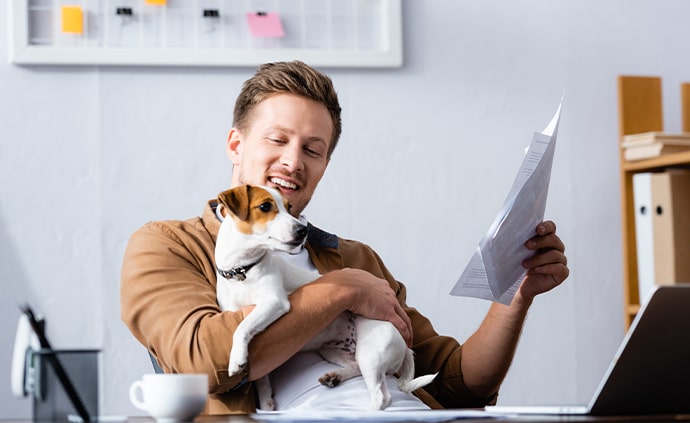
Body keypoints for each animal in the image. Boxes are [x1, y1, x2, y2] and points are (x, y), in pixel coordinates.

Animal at [214, 186, 436, 410]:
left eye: (289, 207)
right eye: (265, 206)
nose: (302, 230)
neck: (242, 271)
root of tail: (405, 346)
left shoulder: (274, 302)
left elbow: (242, 327)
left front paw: (236, 359)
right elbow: (261, 378)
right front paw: (267, 404)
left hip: (371, 353)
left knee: (382, 397)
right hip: (333, 351)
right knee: (355, 368)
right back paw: (335, 377)